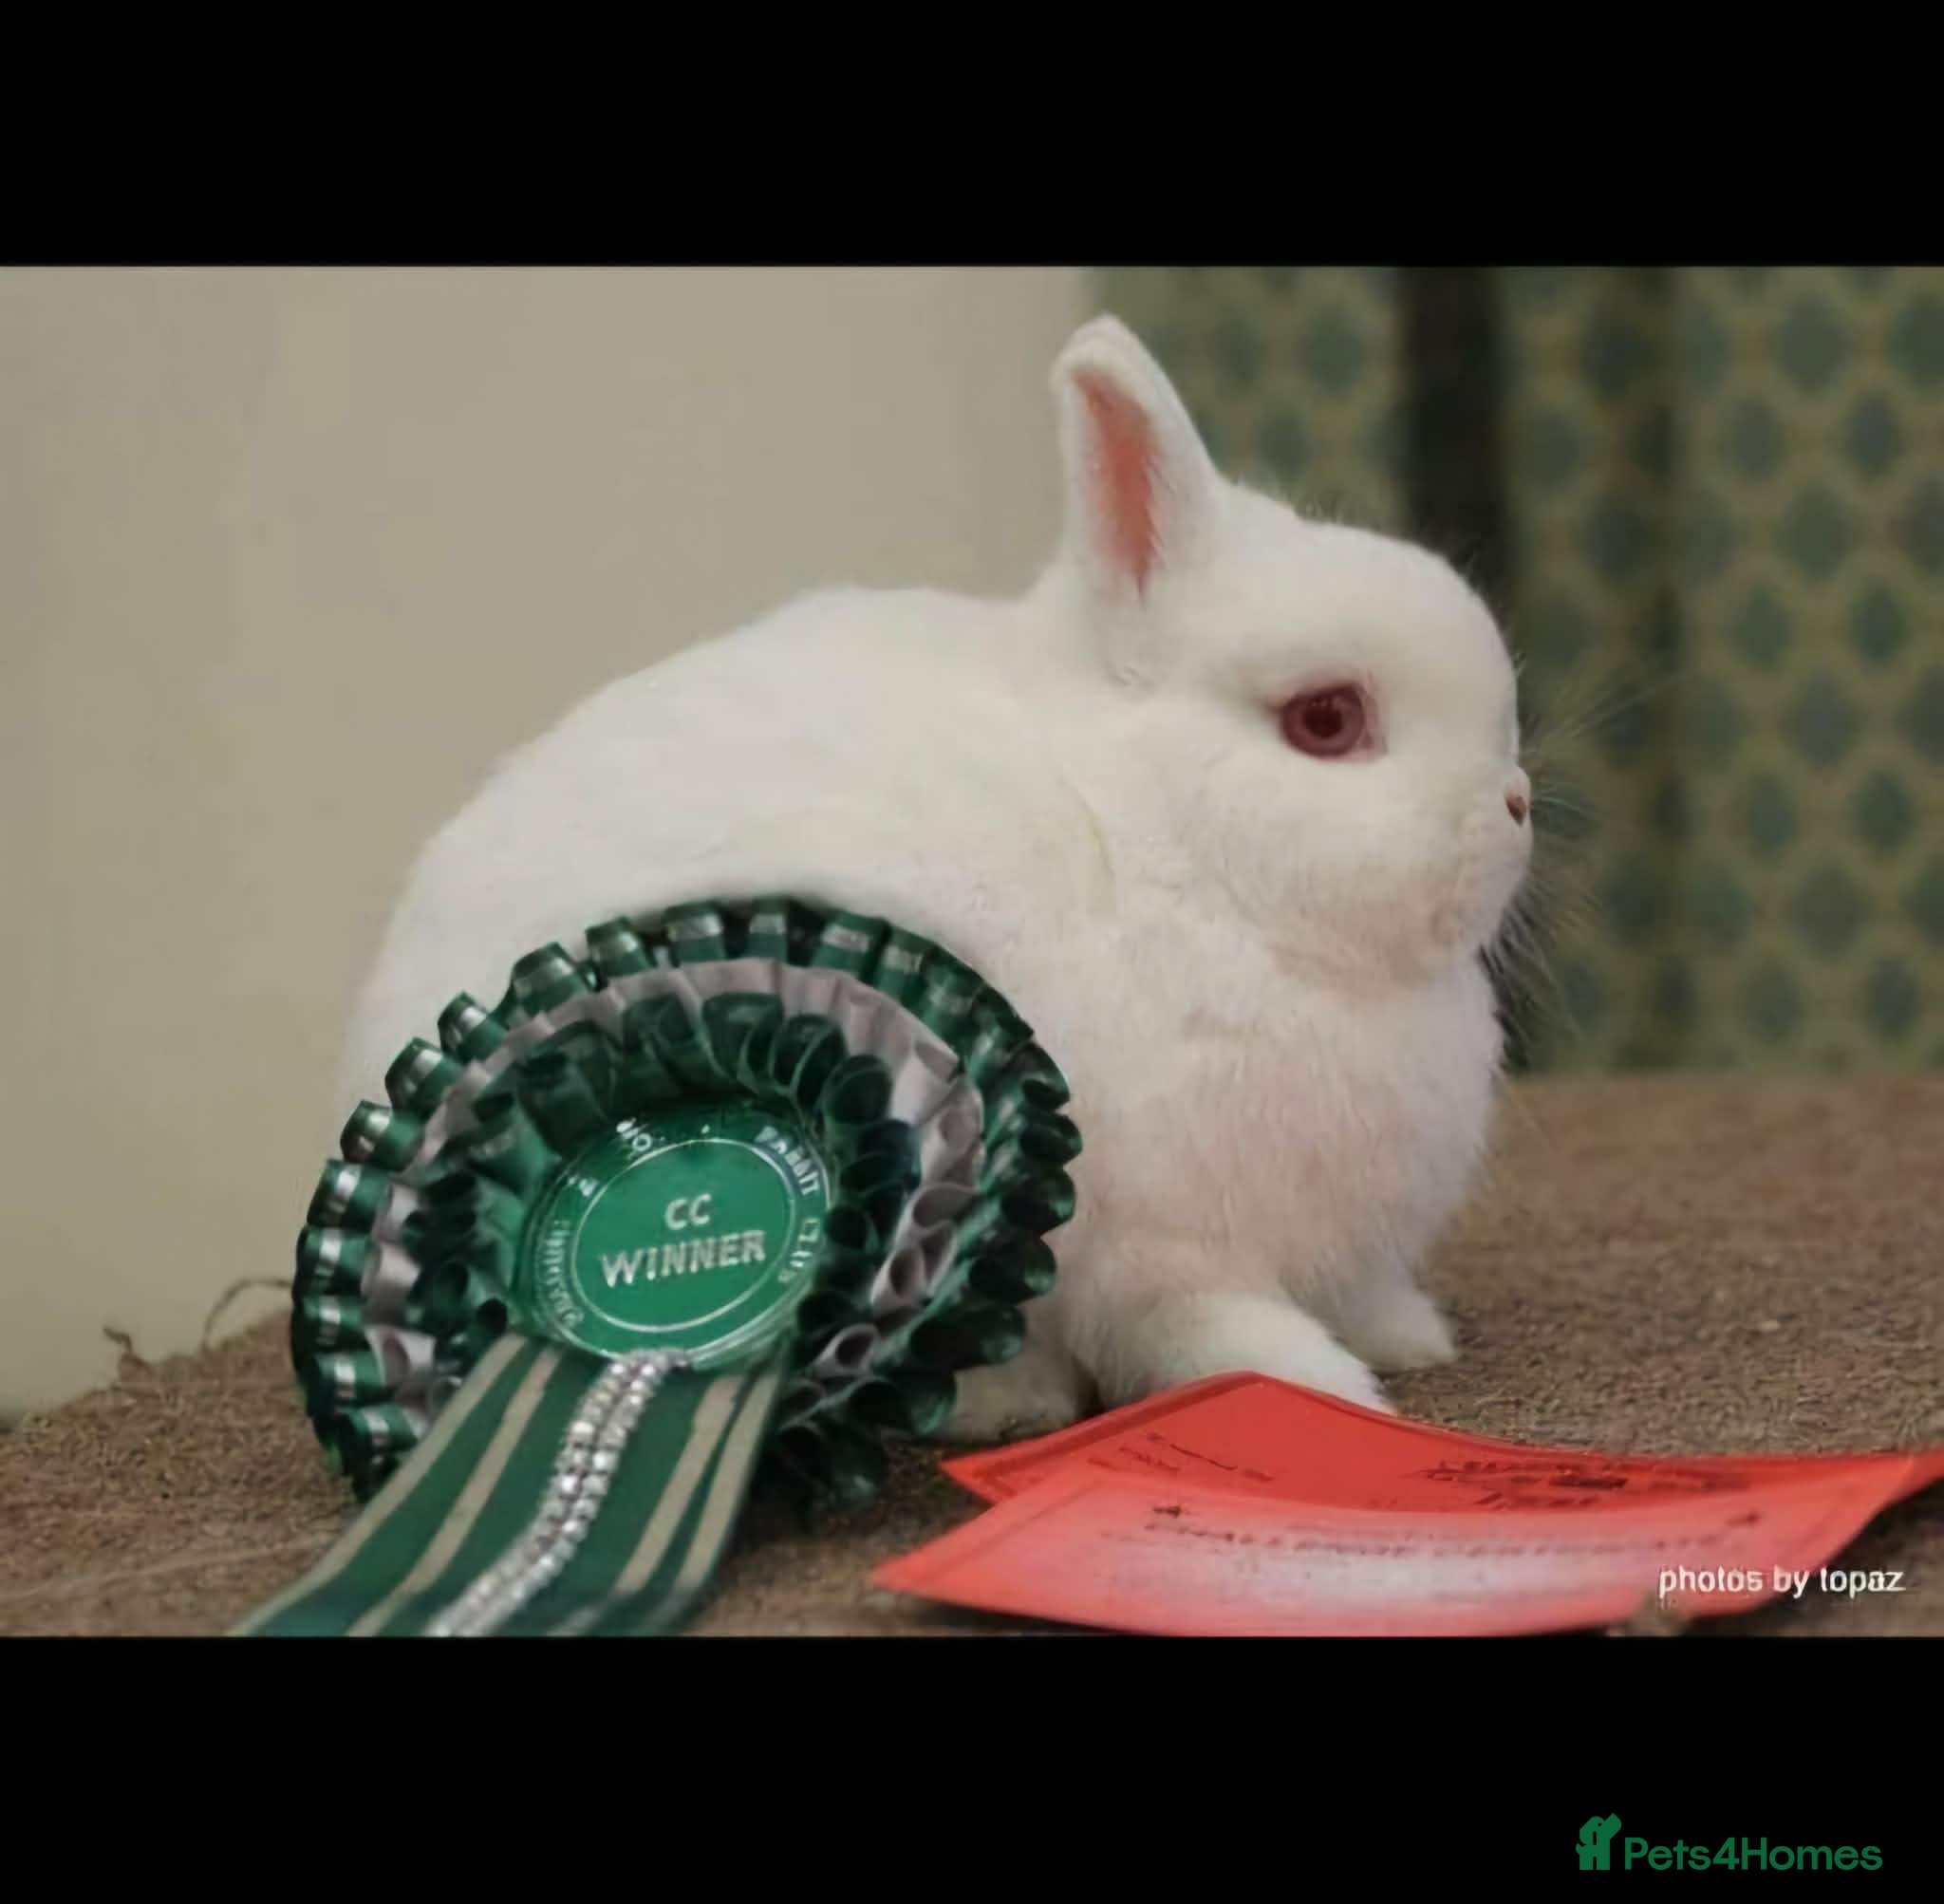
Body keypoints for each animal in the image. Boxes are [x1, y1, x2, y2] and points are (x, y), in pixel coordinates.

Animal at [338, 313, 1533, 1441]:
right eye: (1325, 719)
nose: (1515, 806)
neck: (1155, 849)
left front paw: (1407, 1334)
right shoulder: (1160, 1244)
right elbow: (1203, 1324)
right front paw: (1327, 1384)